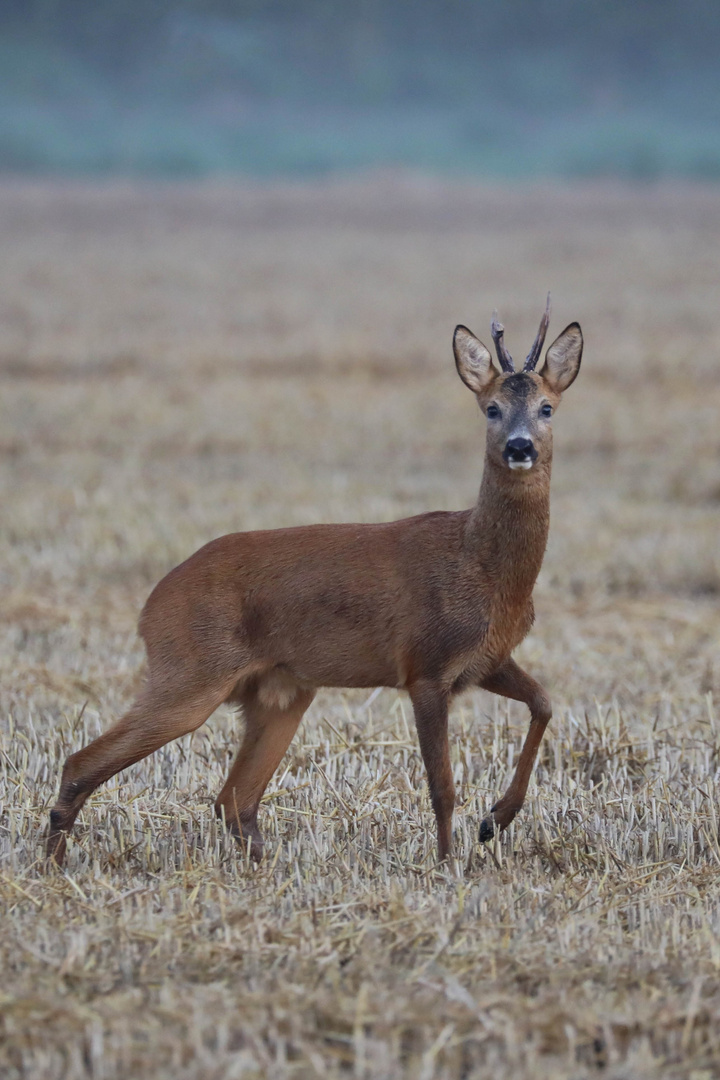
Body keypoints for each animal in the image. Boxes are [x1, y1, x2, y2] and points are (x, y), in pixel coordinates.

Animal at [45, 298, 582, 868]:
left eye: (547, 407)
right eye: (491, 408)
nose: (520, 447)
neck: (485, 570)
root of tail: (151, 605)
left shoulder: (486, 660)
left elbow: (545, 703)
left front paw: (496, 819)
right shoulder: (425, 665)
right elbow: (442, 786)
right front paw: (446, 863)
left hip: (280, 691)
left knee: (233, 799)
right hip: (189, 672)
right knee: (83, 762)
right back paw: (53, 863)